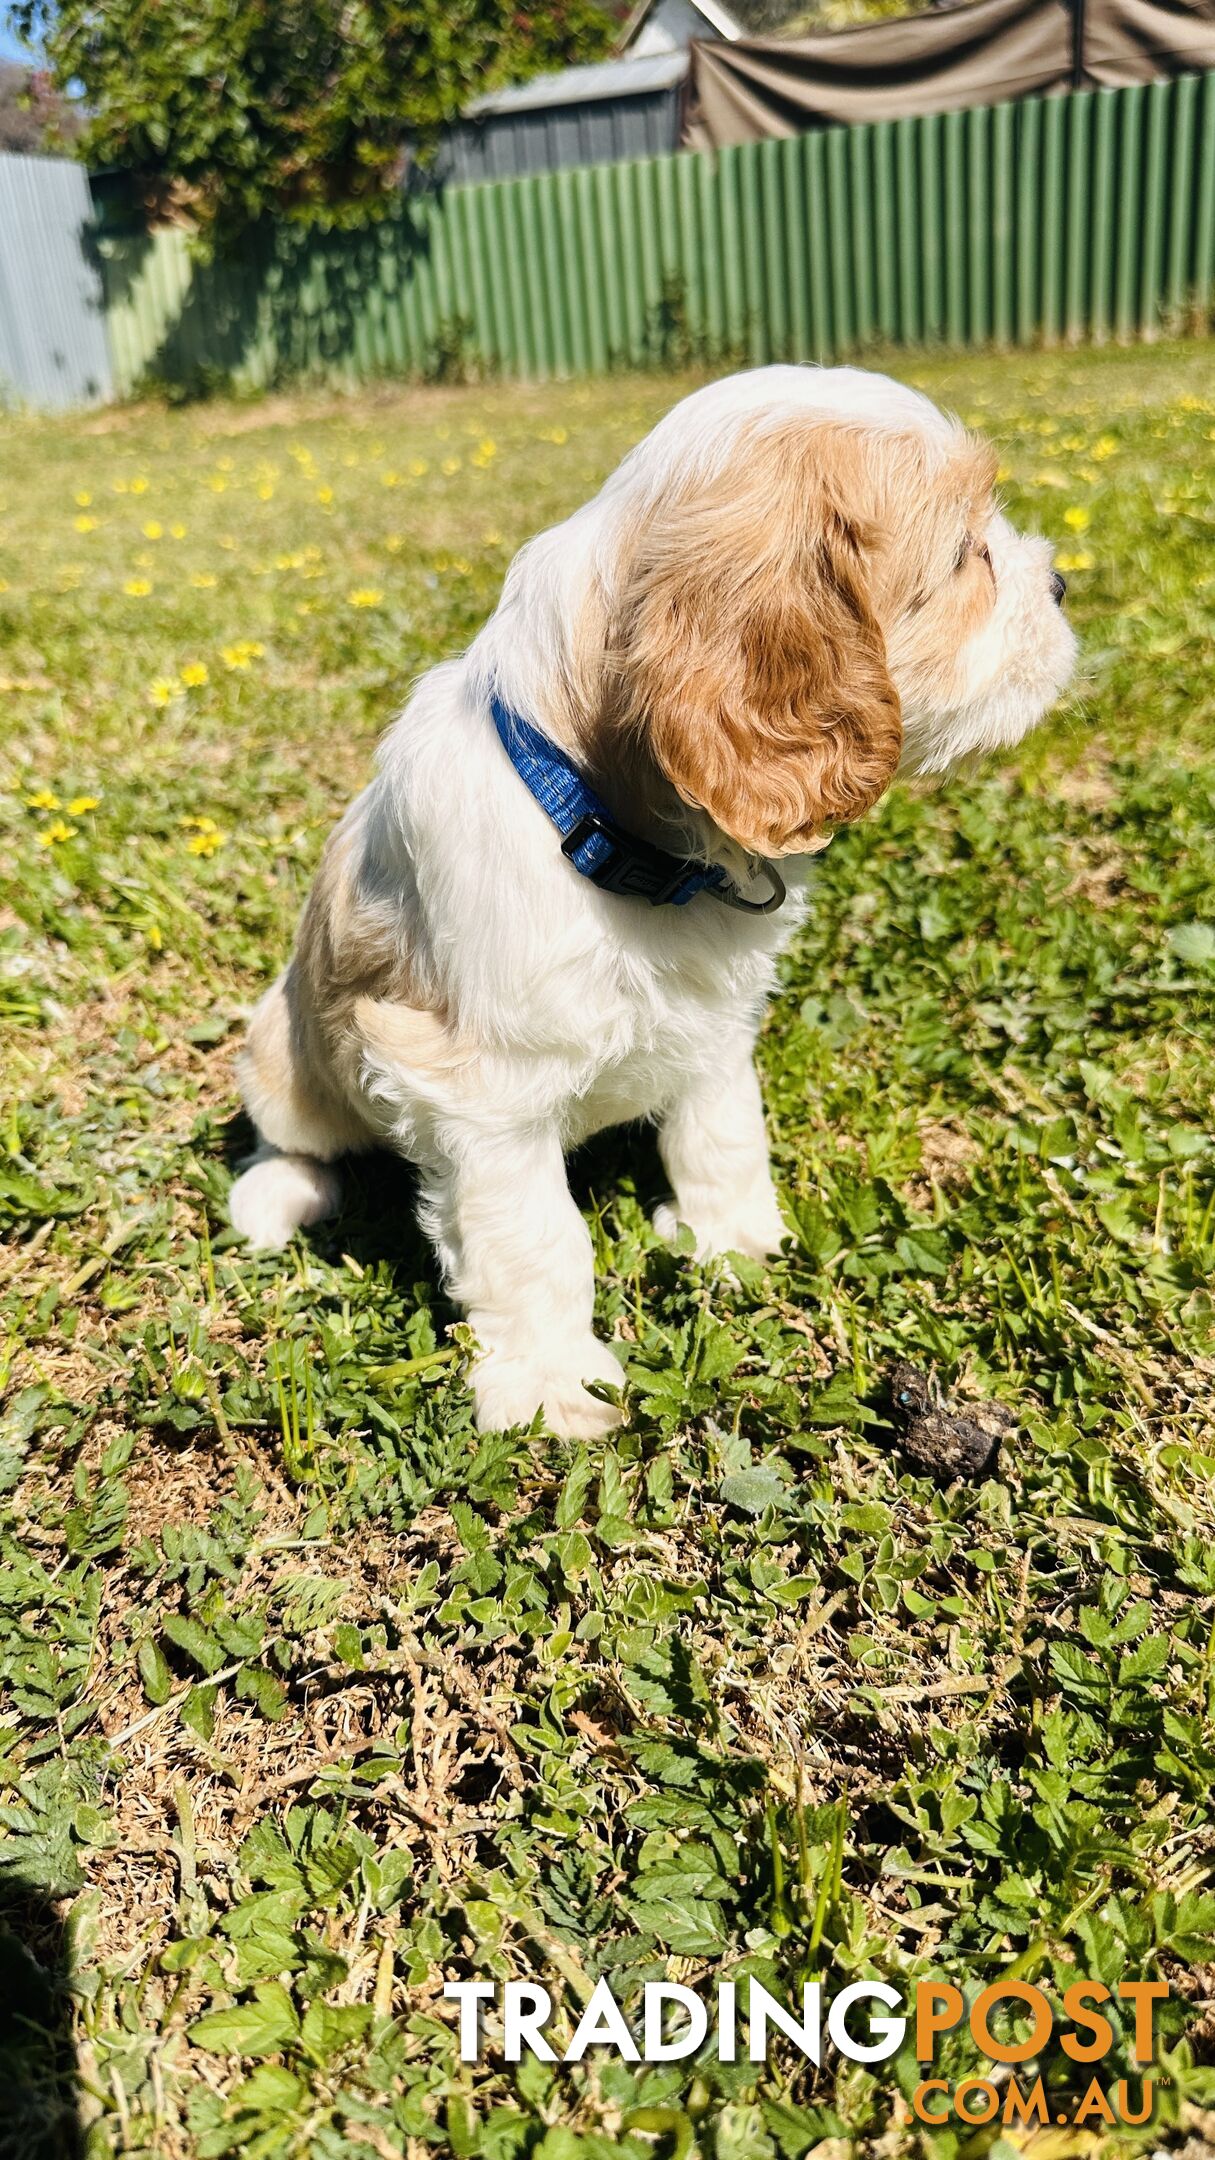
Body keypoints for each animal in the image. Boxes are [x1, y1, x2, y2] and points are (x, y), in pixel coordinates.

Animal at [227, 367, 1067, 1434]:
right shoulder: (476, 1090)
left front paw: (733, 1240)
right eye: (966, 554)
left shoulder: (714, 1022)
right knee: (290, 1133)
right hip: (280, 1039)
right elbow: (536, 1238)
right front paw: (551, 1384)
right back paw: (275, 1196)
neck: (605, 832)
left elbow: (723, 1132)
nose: (1060, 584)